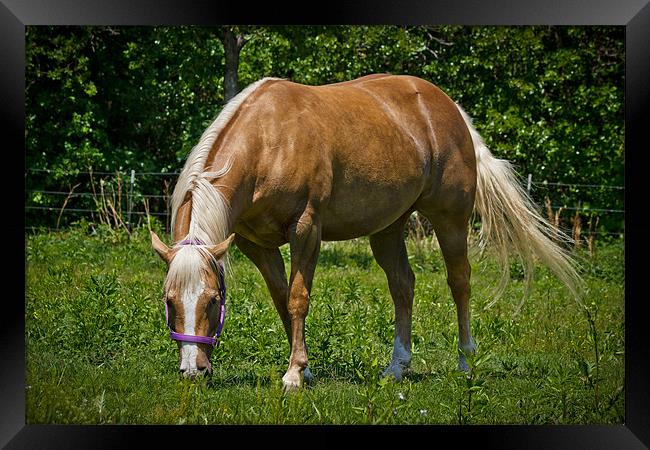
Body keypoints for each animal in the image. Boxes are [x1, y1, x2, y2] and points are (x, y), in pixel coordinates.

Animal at [149, 74, 580, 390]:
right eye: (170, 302)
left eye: (211, 301)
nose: (193, 371)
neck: (269, 142)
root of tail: (449, 107)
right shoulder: (258, 246)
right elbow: (281, 300)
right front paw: (304, 368)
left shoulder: (307, 230)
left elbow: (298, 299)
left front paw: (294, 375)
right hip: (388, 229)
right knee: (403, 285)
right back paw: (397, 367)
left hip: (451, 219)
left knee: (460, 282)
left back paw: (465, 361)